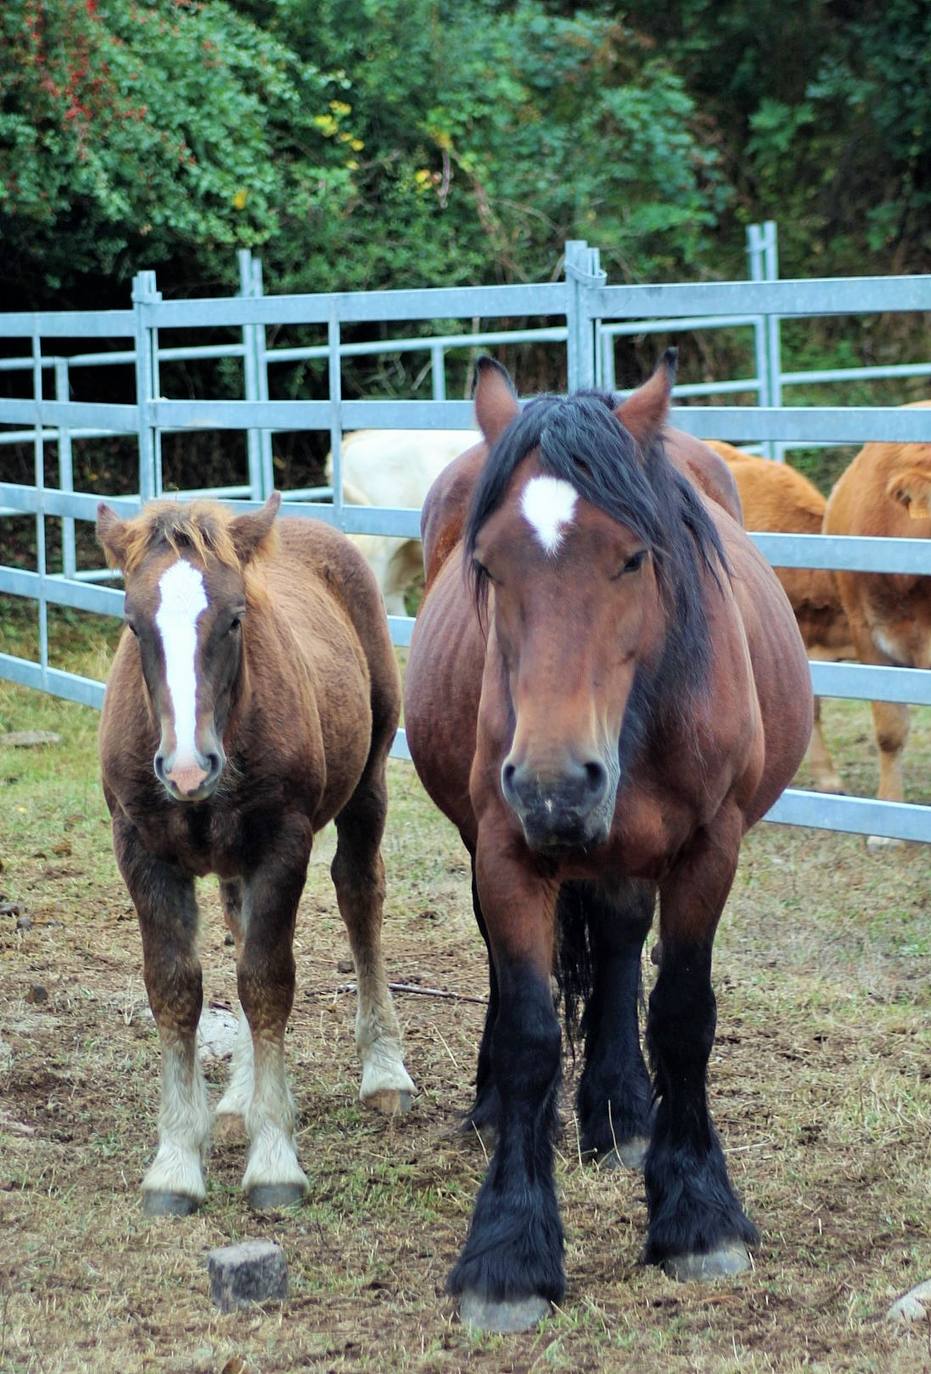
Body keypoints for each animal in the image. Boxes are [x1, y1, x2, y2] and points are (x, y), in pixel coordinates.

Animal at [96, 491, 414, 1214]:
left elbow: (267, 984)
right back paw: (238, 1099)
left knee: (361, 895)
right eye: (132, 624)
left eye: (236, 617)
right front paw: (175, 1165)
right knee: (240, 927)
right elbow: (176, 990)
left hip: (369, 779)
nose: (187, 769)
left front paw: (274, 1163)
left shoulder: (282, 845)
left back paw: (384, 1069)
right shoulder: (140, 852)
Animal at [403, 354, 812, 1330]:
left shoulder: (709, 849)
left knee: (623, 946)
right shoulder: (506, 851)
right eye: (486, 565)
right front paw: (508, 1252)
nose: (555, 784)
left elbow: (682, 1016)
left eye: (632, 556)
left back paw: (622, 1115)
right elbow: (527, 1033)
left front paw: (697, 1216)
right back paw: (506, 1110)